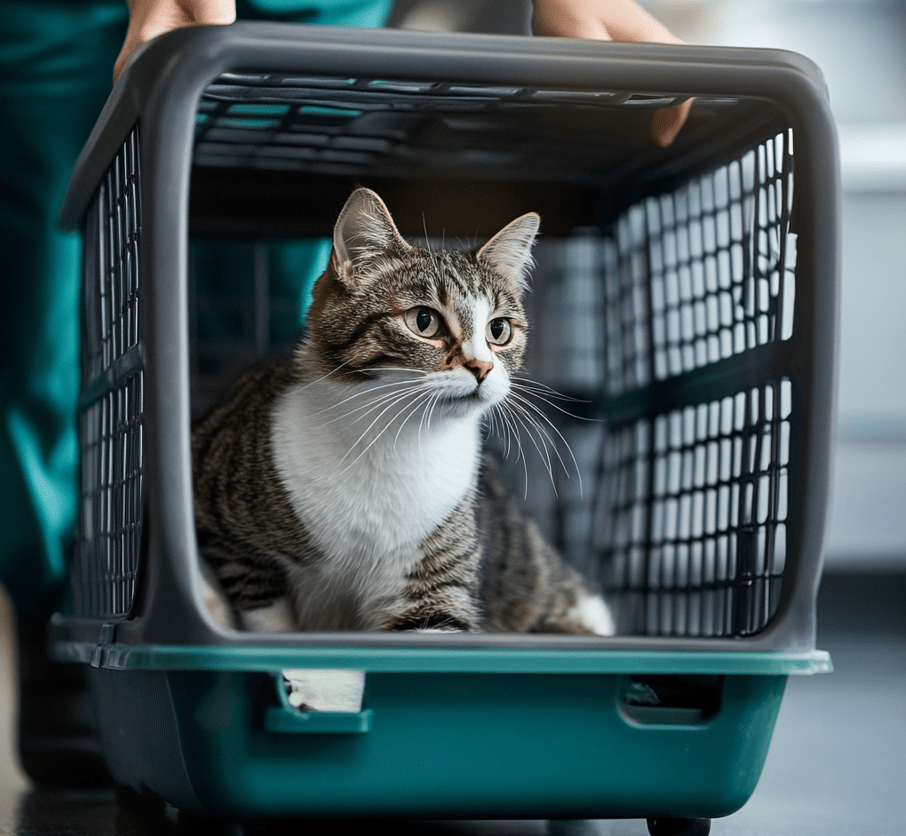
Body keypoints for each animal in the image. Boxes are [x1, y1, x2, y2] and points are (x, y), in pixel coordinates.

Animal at [191, 188, 616, 640]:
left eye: (499, 330)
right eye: (424, 321)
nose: (482, 367)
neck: (396, 441)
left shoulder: (433, 581)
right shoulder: (222, 527)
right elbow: (266, 615)